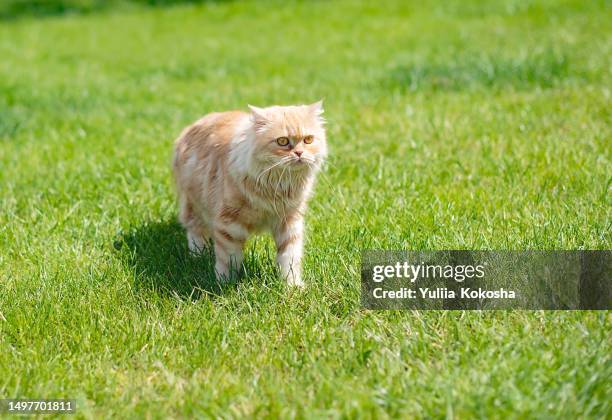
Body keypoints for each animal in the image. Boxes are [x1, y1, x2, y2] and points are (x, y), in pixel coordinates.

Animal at [170, 102, 328, 288]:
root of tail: (190, 127)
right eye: (282, 141)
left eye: (308, 139)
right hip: (194, 204)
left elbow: (289, 257)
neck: (277, 186)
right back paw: (198, 255)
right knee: (194, 229)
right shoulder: (228, 224)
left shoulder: (289, 220)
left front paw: (292, 286)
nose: (299, 153)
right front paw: (224, 285)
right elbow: (228, 259)